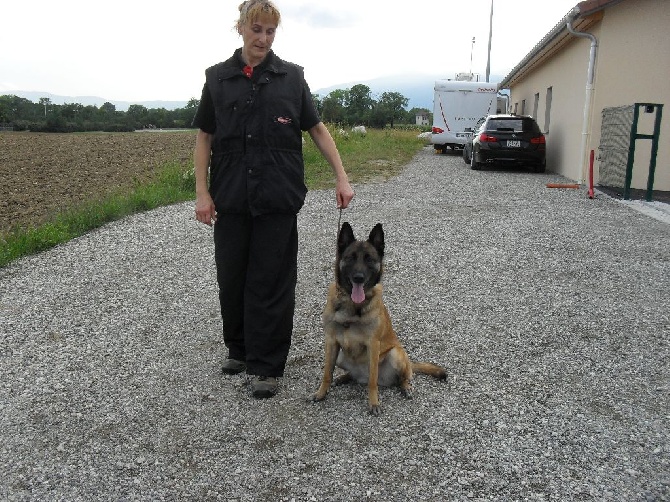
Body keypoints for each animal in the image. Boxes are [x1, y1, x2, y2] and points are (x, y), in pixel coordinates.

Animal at [312, 224, 448, 416]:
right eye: (350, 258)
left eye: (369, 259)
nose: (359, 277)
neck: (353, 306)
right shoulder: (331, 342)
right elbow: (327, 374)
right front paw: (321, 393)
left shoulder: (373, 344)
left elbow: (372, 381)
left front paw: (374, 403)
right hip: (340, 356)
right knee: (350, 374)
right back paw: (344, 377)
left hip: (395, 354)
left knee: (401, 377)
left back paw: (406, 387)